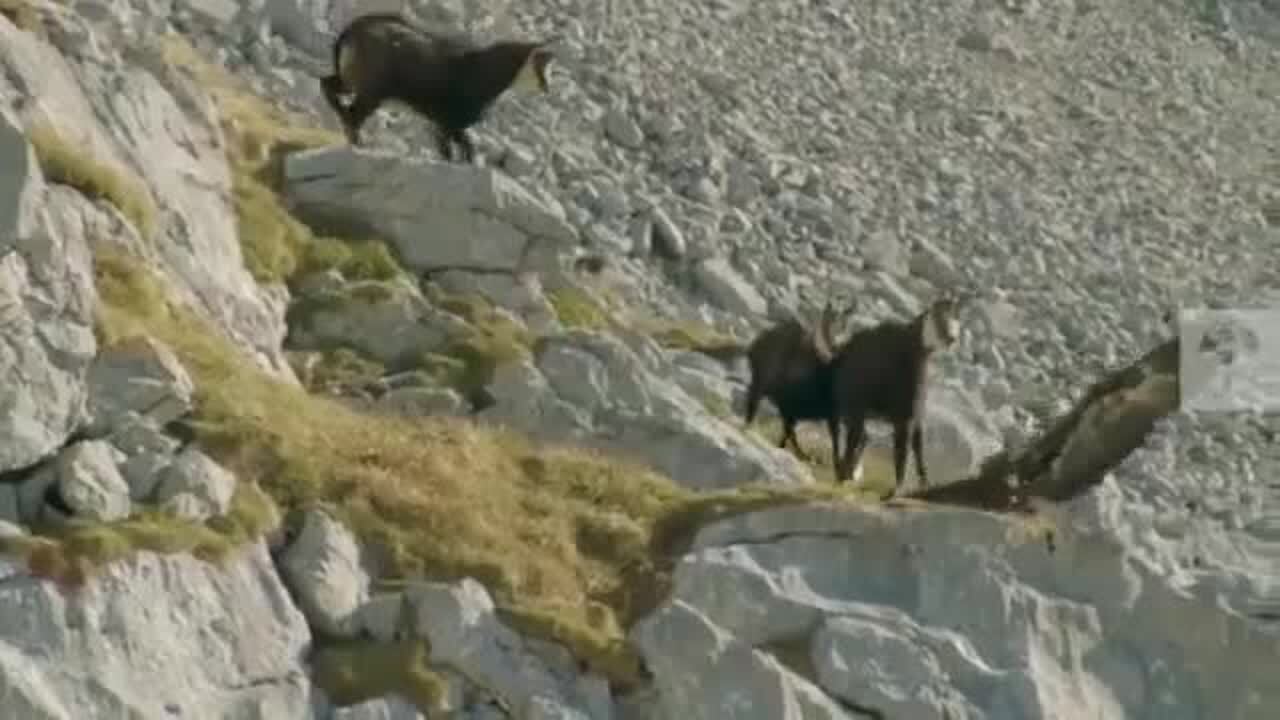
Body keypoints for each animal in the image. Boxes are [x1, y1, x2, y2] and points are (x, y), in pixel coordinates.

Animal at [320, 12, 556, 163]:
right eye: (541, 65)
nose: (547, 87)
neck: (483, 72)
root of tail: (351, 32)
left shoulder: (441, 124)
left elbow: (456, 149)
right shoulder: (449, 121)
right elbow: (459, 149)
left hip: (350, 79)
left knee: (327, 83)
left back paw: (342, 116)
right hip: (374, 89)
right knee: (354, 112)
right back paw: (357, 139)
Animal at [743, 298, 854, 466]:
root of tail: (754, 346)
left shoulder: (828, 414)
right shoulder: (788, 406)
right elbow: (791, 432)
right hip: (759, 384)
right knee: (752, 405)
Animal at [830, 295, 968, 498]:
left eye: (956, 316)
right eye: (937, 314)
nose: (951, 338)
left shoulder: (917, 414)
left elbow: (918, 447)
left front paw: (924, 483)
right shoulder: (903, 417)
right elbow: (901, 452)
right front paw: (896, 489)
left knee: (862, 437)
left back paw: (849, 472)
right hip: (852, 409)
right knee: (852, 438)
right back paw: (844, 473)